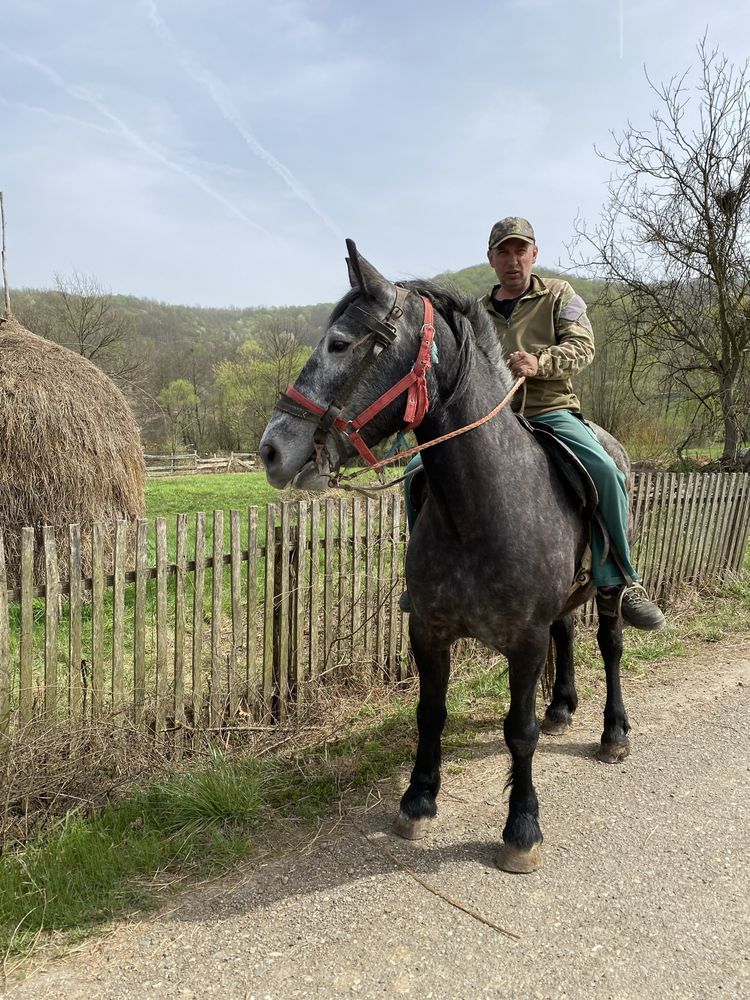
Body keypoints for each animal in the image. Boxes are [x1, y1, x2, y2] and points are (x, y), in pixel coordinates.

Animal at [262, 244, 632, 876]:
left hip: (608, 593)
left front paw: (522, 829)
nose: (271, 449)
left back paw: (613, 732)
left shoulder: (524, 640)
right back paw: (563, 706)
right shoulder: (429, 631)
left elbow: (519, 731)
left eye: (339, 343)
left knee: (609, 646)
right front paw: (418, 800)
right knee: (567, 633)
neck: (483, 507)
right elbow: (430, 713)